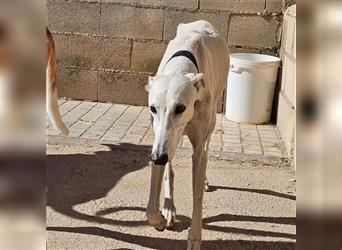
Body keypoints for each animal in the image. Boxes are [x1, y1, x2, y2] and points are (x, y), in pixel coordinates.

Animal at [145, 20, 228, 249]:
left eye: (180, 107)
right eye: (153, 108)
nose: (157, 157)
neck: (181, 68)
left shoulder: (198, 147)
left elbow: (197, 196)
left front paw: (194, 238)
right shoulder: (159, 137)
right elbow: (150, 209)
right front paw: (160, 219)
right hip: (170, 139)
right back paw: (169, 207)